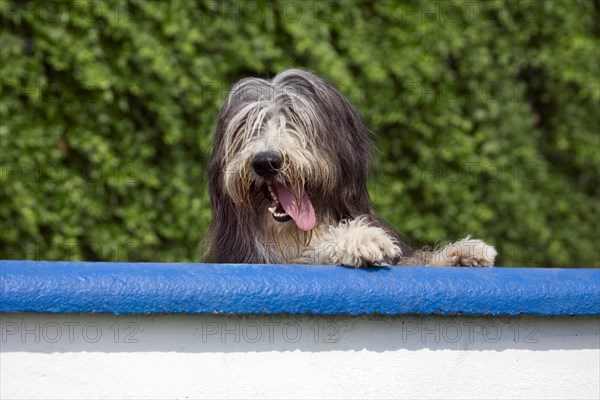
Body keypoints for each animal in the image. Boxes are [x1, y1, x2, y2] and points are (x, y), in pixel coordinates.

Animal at [205, 69, 496, 268]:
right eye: (246, 128)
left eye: (295, 120)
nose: (266, 161)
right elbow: (312, 254)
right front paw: (357, 239)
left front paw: (459, 252)